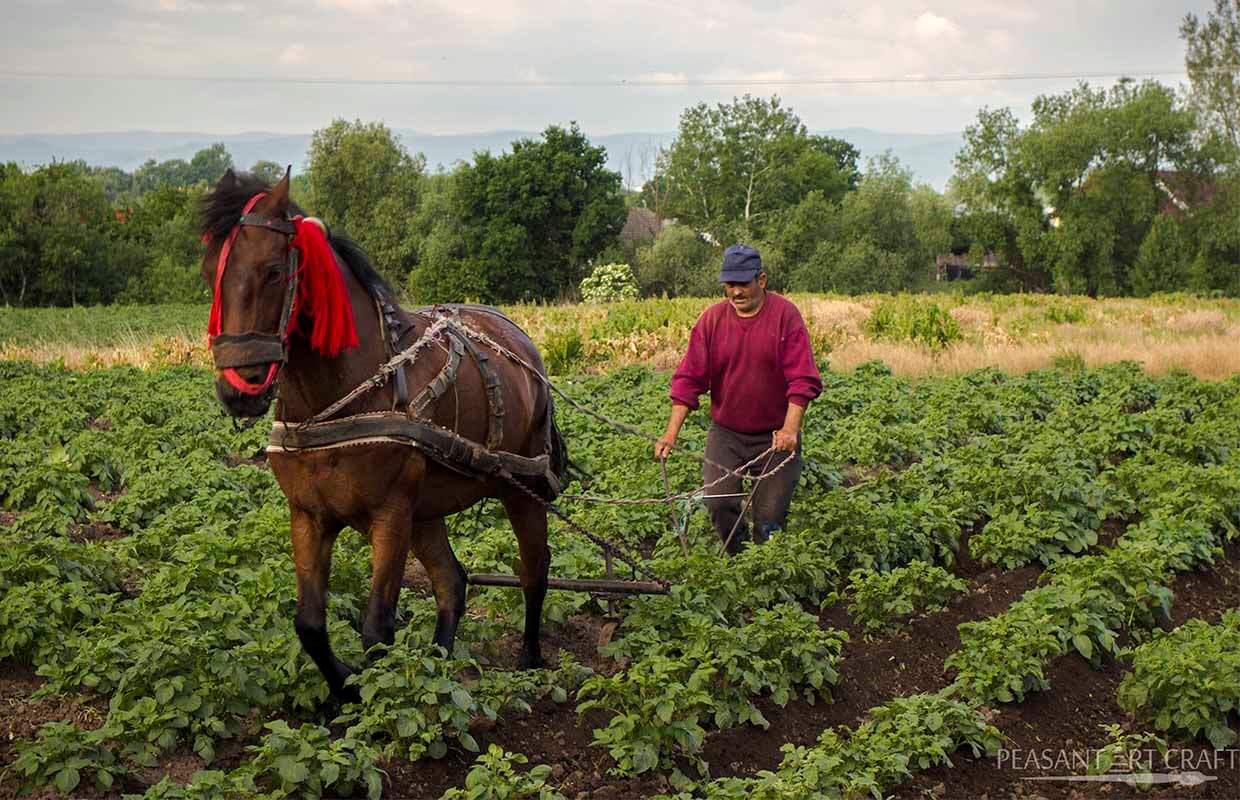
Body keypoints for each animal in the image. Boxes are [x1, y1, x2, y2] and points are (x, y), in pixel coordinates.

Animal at [198, 168, 567, 699]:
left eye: (272, 271)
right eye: (210, 274)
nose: (238, 389)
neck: (337, 398)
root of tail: (520, 341)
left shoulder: (389, 515)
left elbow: (376, 630)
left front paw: (379, 703)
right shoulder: (308, 515)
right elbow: (309, 624)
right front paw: (346, 690)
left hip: (521, 487)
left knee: (534, 571)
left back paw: (530, 662)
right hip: (427, 509)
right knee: (451, 581)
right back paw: (439, 668)